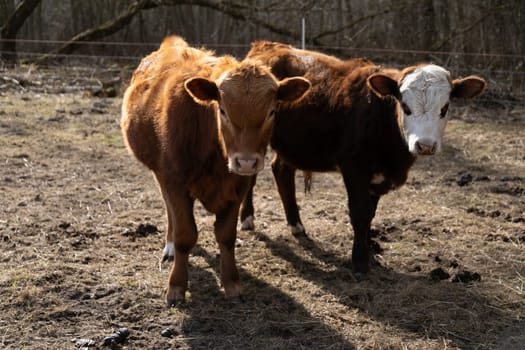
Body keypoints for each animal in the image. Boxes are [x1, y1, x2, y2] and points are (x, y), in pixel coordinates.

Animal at [122, 37, 312, 306]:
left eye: (272, 112)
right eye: (222, 110)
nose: (246, 162)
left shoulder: (239, 187)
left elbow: (226, 235)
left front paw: (231, 283)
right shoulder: (174, 181)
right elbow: (185, 235)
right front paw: (176, 286)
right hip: (160, 173)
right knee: (169, 210)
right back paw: (169, 247)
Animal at [243, 41, 488, 278]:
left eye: (445, 108)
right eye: (405, 107)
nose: (425, 145)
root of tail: (267, 46)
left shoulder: (378, 176)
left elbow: (371, 213)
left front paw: (370, 253)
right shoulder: (354, 167)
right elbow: (360, 212)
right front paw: (360, 262)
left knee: (282, 171)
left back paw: (296, 225)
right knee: (250, 176)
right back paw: (247, 219)